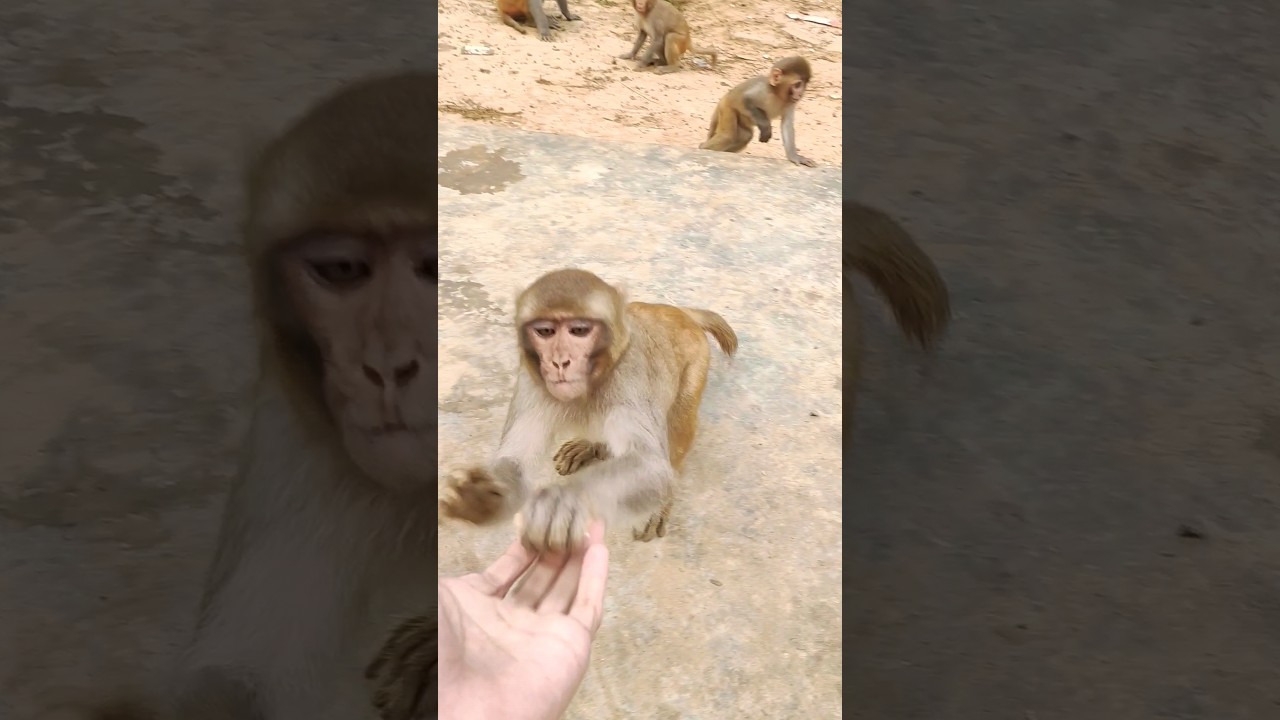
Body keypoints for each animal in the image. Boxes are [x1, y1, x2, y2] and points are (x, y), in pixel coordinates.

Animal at [440, 268, 738, 553]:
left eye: (579, 330)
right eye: (545, 332)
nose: (560, 361)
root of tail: (678, 312)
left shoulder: (627, 380)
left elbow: (651, 466)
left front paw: (565, 502)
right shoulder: (531, 382)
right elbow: (515, 462)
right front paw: (483, 500)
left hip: (696, 364)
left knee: (678, 425)